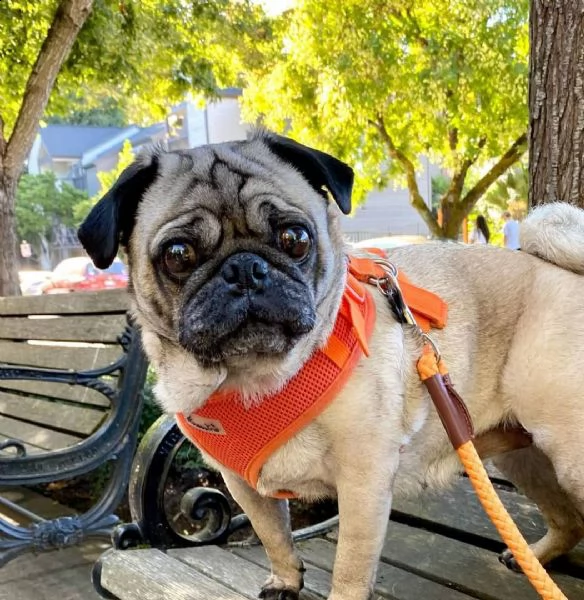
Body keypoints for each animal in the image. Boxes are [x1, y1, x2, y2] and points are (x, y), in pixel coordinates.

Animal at [80, 131, 584, 600]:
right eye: (178, 254)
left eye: (295, 239)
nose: (245, 269)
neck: (255, 380)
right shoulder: (242, 485)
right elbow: (274, 536)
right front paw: (285, 581)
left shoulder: (363, 481)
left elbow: (350, 565)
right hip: (520, 455)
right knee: (568, 521)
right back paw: (533, 556)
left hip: (567, 453)